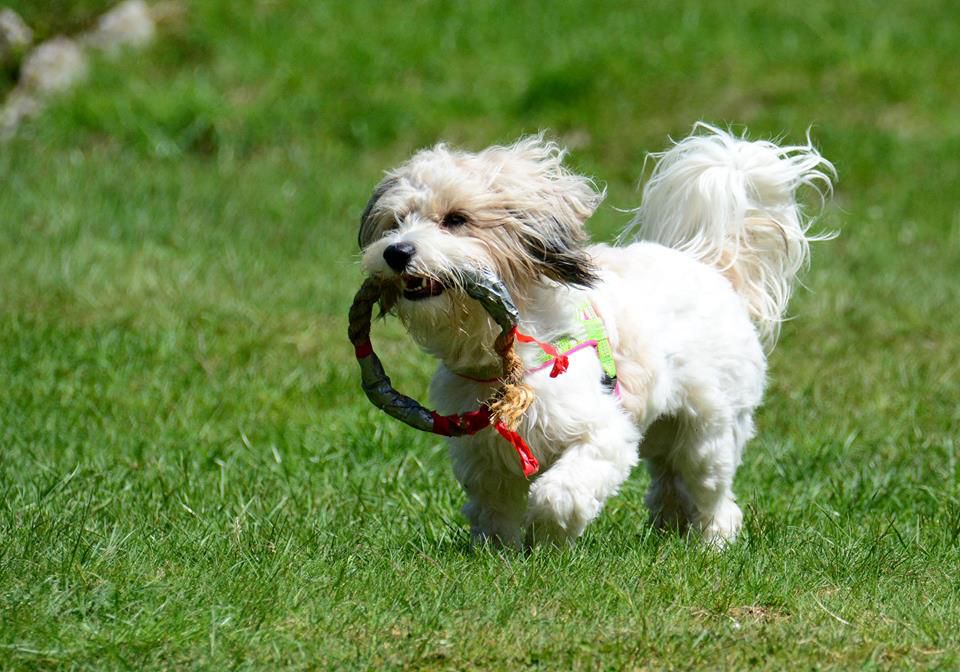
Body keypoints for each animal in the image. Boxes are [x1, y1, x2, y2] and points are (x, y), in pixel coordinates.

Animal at [358, 123, 832, 548]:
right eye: (396, 222)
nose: (396, 251)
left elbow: (559, 495)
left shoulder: (603, 430)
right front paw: (496, 552)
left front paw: (546, 537)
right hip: (663, 429)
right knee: (668, 480)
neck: (508, 358)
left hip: (708, 430)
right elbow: (493, 507)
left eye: (456, 220)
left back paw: (713, 539)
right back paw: (668, 530)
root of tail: (711, 264)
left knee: (710, 488)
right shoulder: (482, 451)